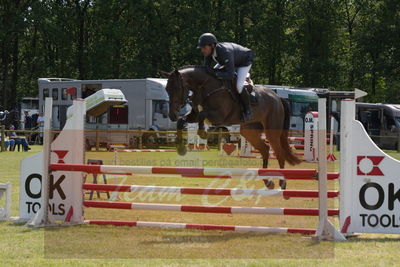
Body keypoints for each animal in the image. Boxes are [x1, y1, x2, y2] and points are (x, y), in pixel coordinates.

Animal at [159, 65, 300, 189]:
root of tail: (278, 98)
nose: (172, 115)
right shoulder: (193, 115)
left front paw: (203, 132)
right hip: (249, 131)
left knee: (279, 153)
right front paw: (181, 149)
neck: (204, 86)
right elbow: (182, 121)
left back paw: (282, 182)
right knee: (265, 149)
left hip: (271, 131)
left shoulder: (219, 116)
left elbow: (202, 115)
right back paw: (268, 182)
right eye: (167, 89)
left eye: (176, 88)